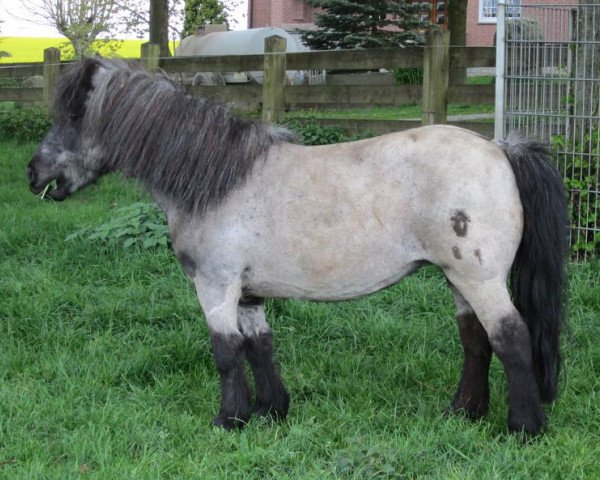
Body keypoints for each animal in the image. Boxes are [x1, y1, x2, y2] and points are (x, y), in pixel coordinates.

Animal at [27, 57, 568, 436]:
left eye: (73, 116)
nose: (34, 173)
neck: (215, 180)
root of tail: (501, 149)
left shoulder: (215, 286)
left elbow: (225, 351)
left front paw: (229, 420)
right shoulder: (247, 293)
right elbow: (259, 347)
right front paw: (271, 411)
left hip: (481, 279)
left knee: (511, 339)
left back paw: (523, 428)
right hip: (458, 278)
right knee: (475, 342)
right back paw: (463, 413)